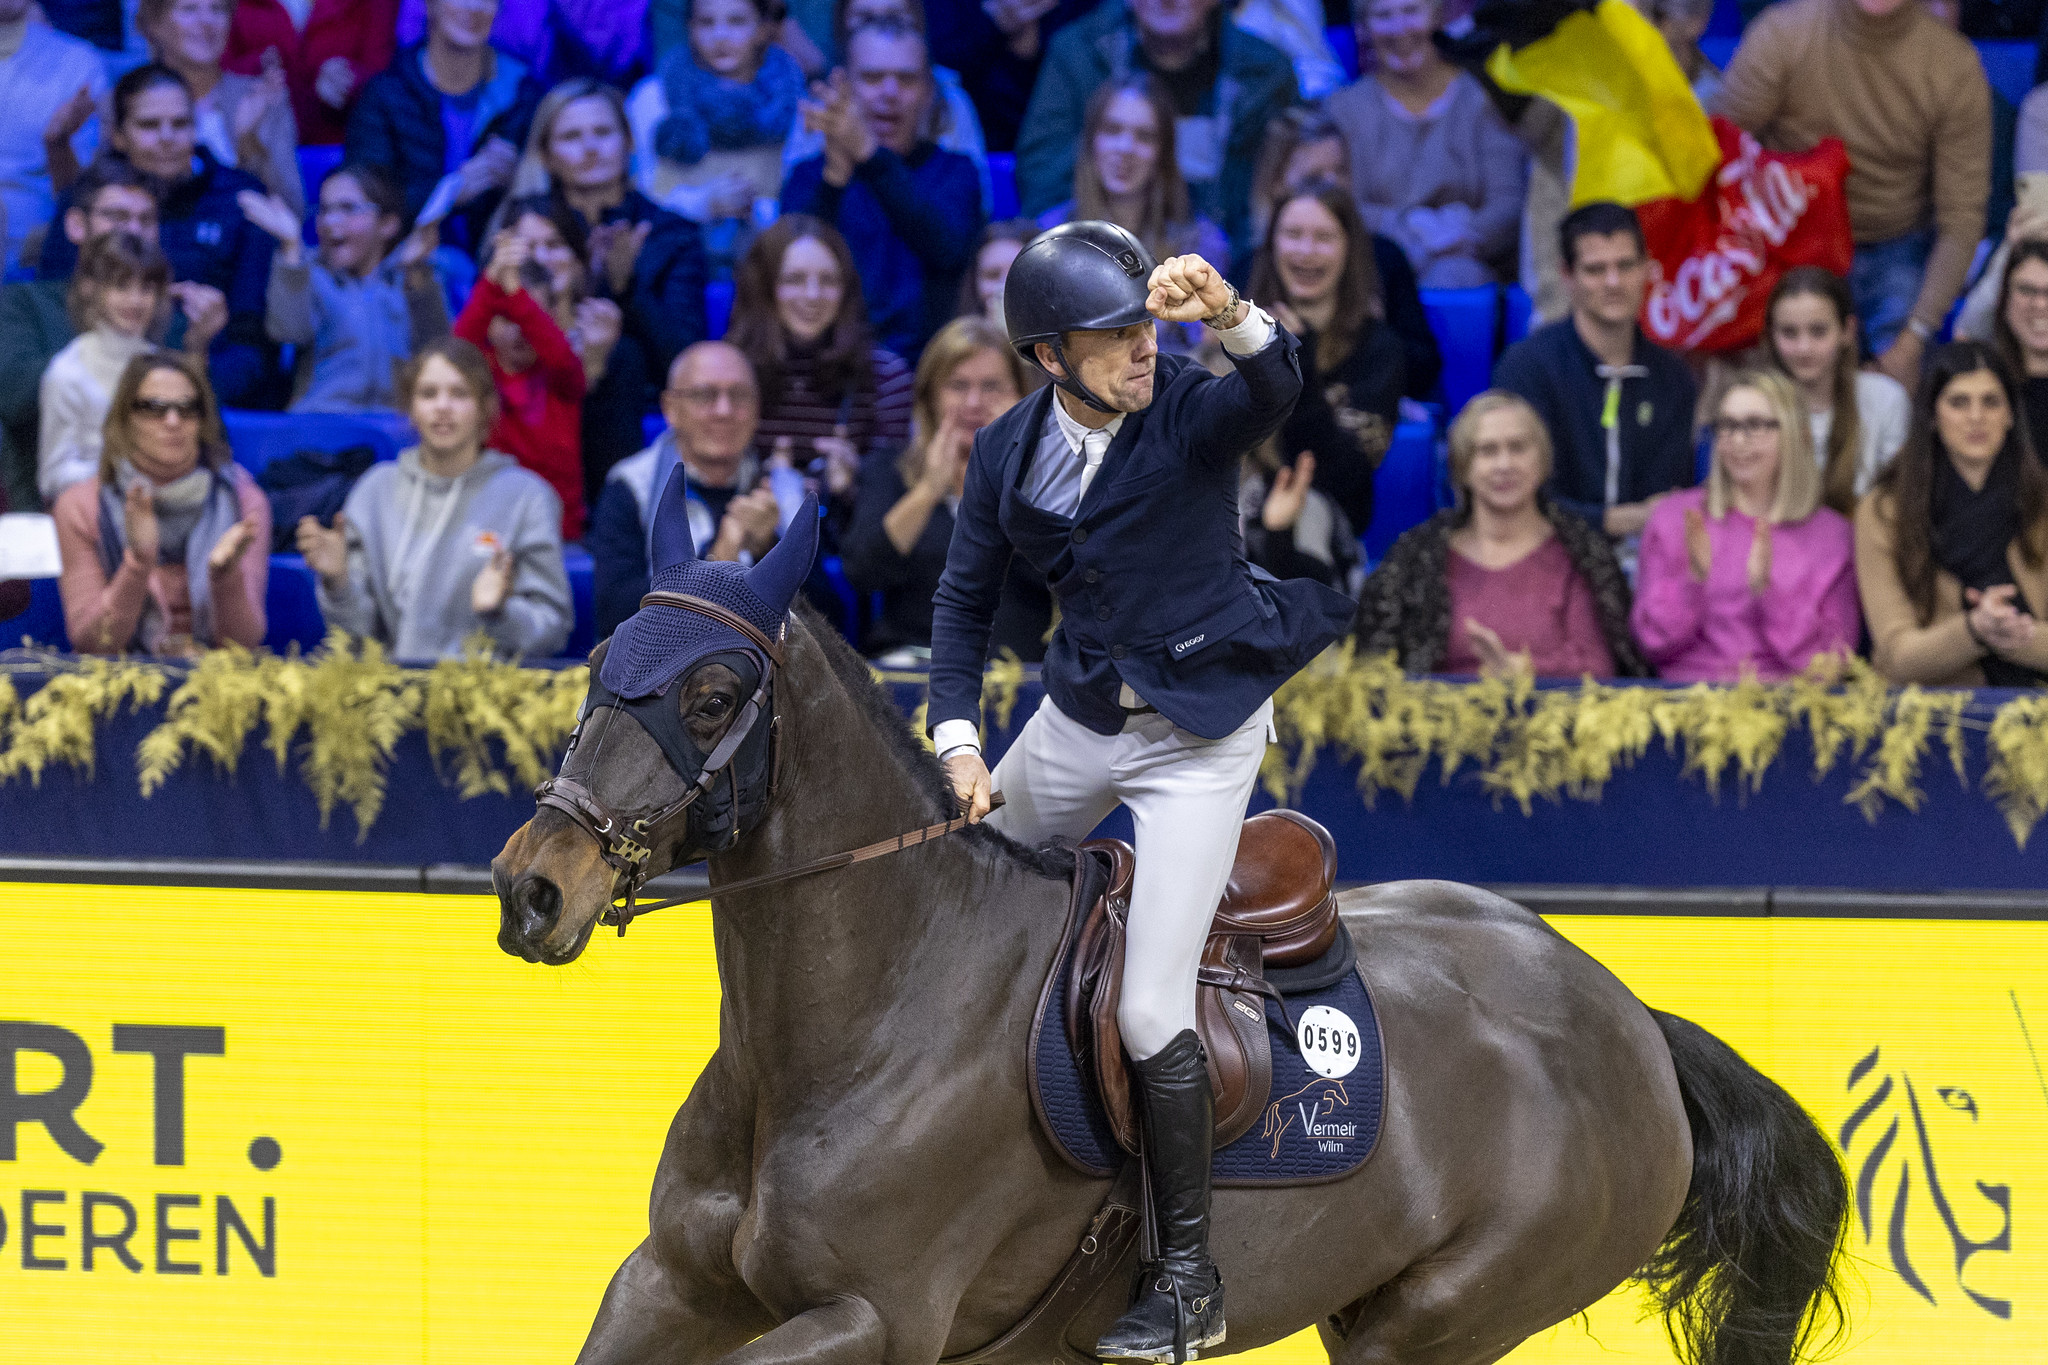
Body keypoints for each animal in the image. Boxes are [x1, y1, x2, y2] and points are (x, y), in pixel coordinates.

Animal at [495, 507, 1859, 1365]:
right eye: (600, 657)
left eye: (711, 696)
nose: (530, 891)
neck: (853, 1022)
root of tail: (1626, 1019)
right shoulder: (669, 1282)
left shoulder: (871, 1319)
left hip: (1441, 1318)